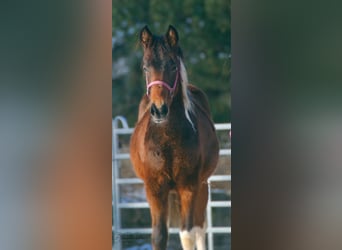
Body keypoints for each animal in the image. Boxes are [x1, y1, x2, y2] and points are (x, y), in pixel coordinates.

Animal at [130, 24, 218, 250]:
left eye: (172, 65)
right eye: (145, 67)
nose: (159, 110)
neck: (167, 141)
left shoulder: (189, 186)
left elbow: (188, 234)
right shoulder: (154, 188)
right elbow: (160, 236)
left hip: (201, 186)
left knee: (199, 228)